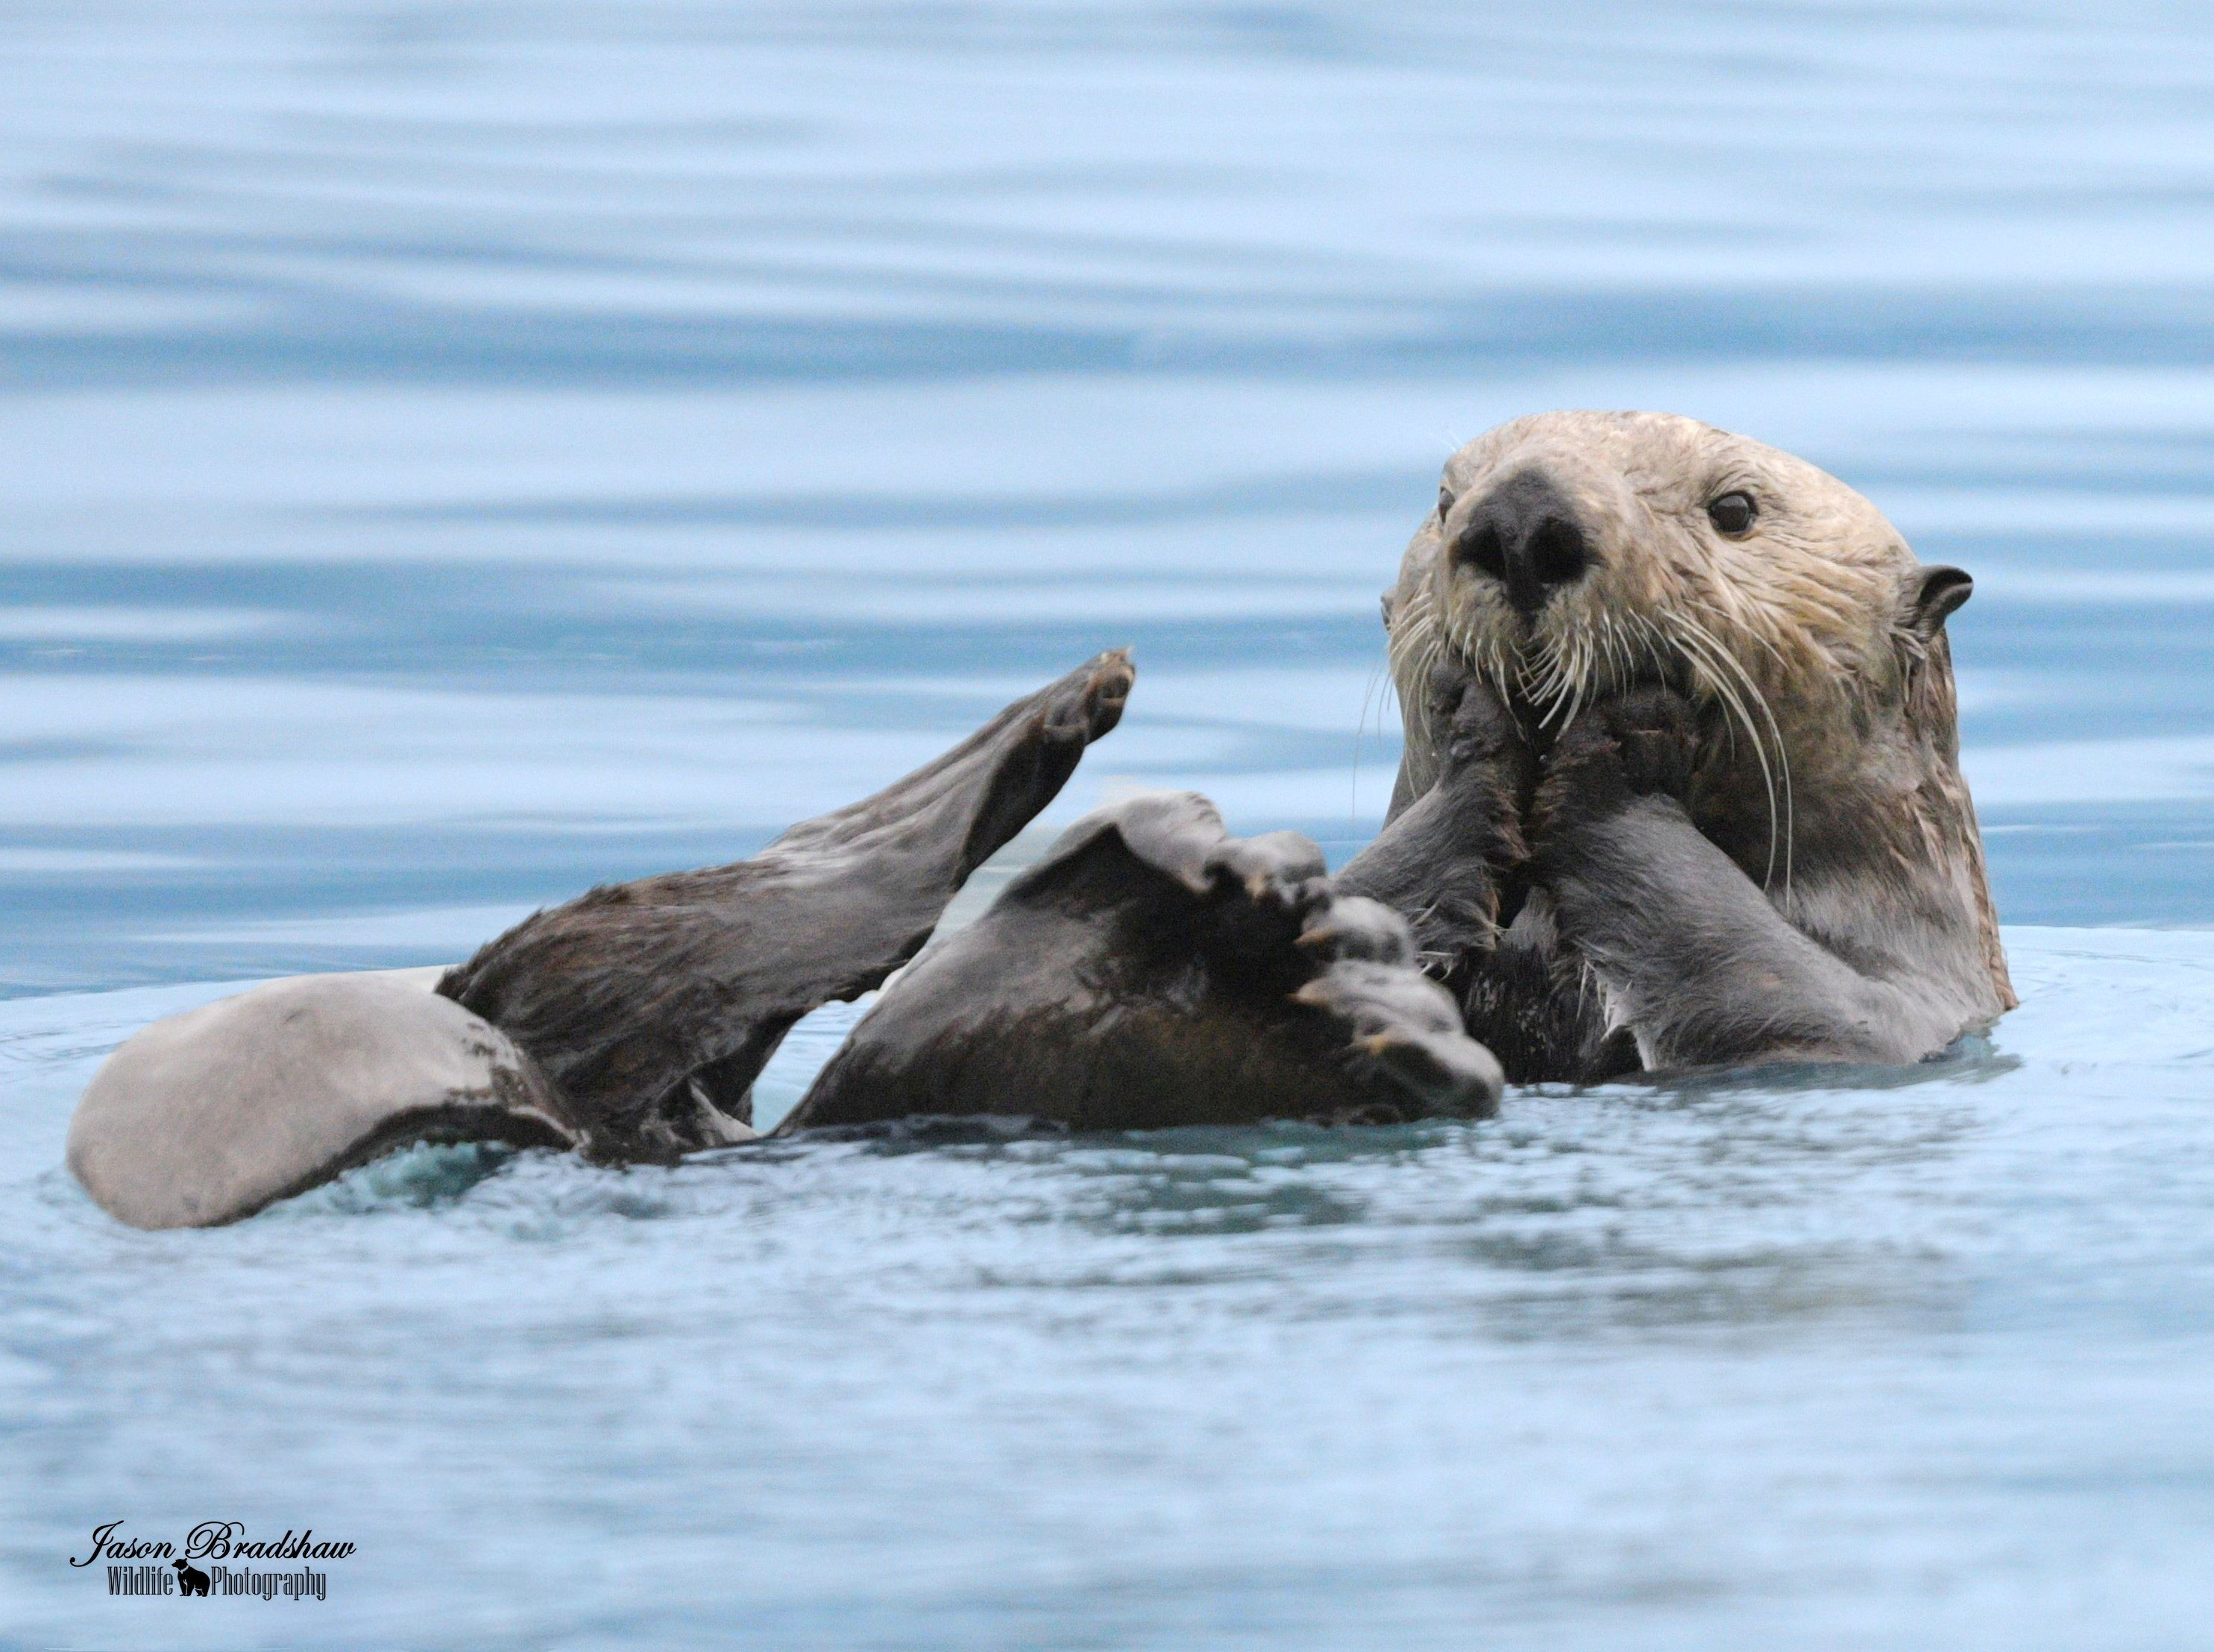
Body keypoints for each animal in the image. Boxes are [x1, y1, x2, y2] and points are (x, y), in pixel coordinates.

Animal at [1337, 409, 2014, 1080]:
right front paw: (1474, 727)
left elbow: (1815, 1009)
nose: (1520, 518)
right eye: (1444, 500)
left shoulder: (1919, 1001)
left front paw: (1621, 738)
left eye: (1734, 510)